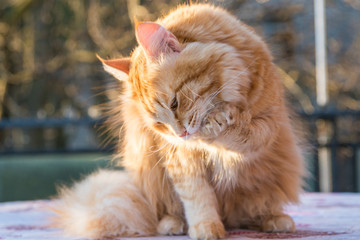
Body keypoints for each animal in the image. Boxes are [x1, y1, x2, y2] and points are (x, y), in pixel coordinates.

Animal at [54, 4, 306, 240]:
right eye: (158, 123)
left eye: (174, 104)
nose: (181, 134)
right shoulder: (180, 157)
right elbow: (197, 195)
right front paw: (206, 227)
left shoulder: (268, 125)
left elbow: (243, 135)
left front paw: (221, 124)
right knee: (165, 210)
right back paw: (172, 224)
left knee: (252, 210)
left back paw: (273, 219)